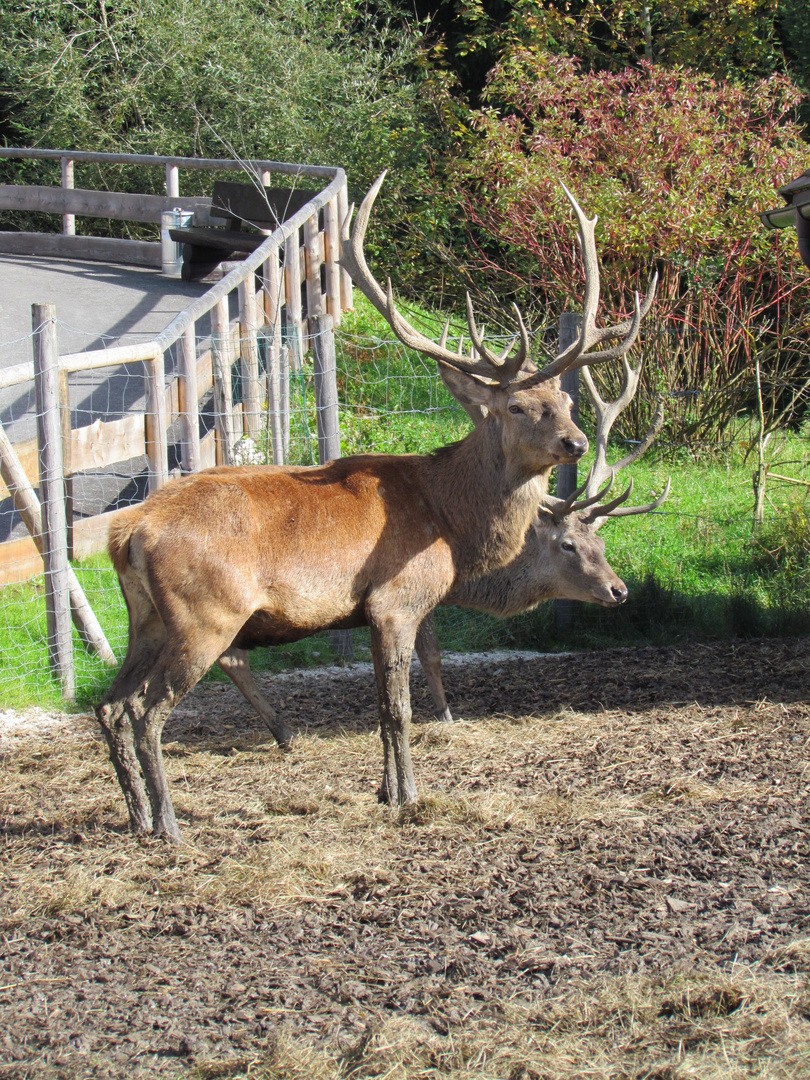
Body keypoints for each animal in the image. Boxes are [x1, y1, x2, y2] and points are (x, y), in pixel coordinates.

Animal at [95, 172, 656, 838]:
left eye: (566, 404)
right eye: (518, 406)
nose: (575, 442)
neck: (451, 523)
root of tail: (127, 532)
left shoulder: (370, 612)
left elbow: (380, 704)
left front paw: (386, 791)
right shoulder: (398, 598)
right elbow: (398, 709)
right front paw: (409, 795)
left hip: (145, 618)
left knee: (109, 705)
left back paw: (136, 817)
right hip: (204, 612)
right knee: (148, 709)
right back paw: (170, 823)